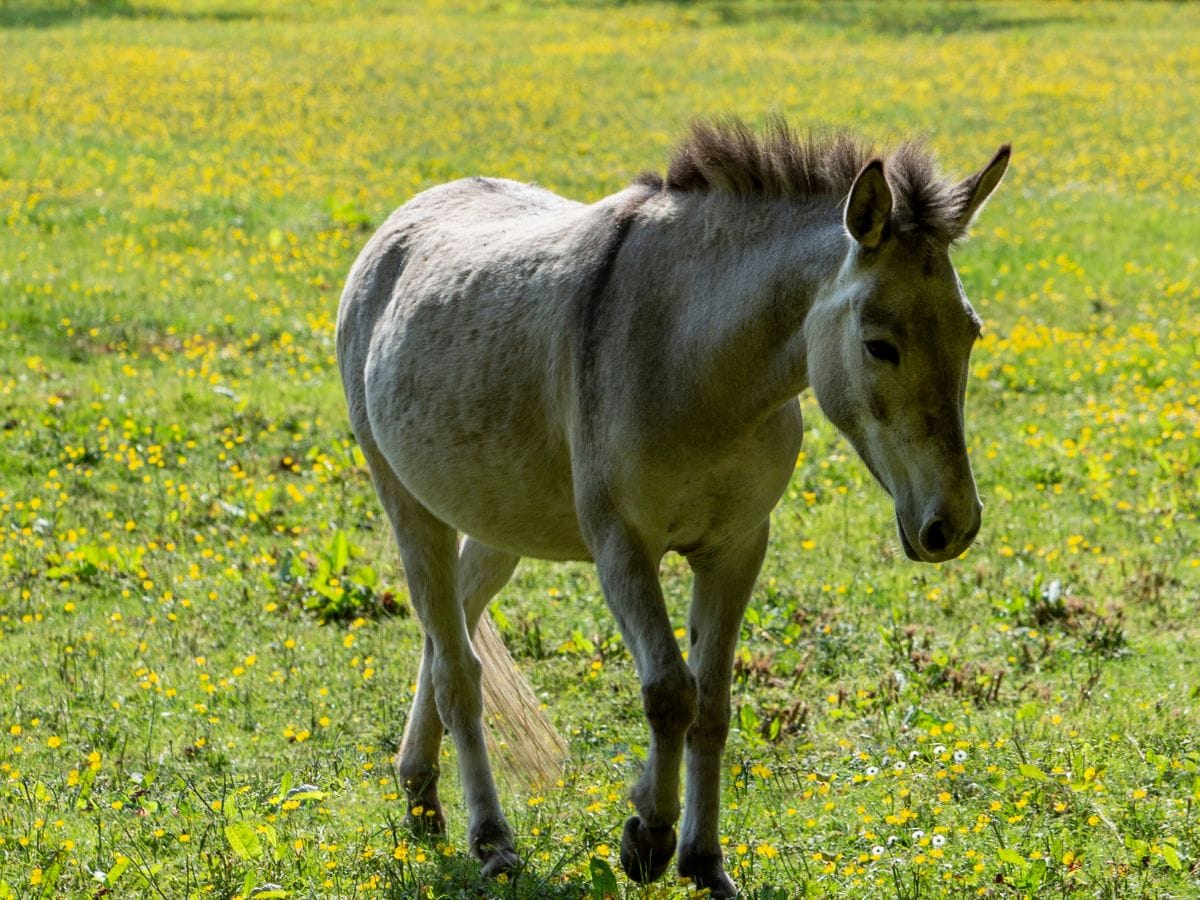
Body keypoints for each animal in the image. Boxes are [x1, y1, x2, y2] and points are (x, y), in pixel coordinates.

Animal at [338, 116, 1012, 897]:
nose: (952, 524)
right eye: (880, 345)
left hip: (495, 525)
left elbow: (711, 706)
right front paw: (648, 839)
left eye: (970, 331)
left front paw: (705, 862)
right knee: (457, 672)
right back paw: (491, 840)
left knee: (446, 637)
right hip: (410, 509)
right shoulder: (622, 549)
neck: (693, 359)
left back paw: (420, 796)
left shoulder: (736, 549)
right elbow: (668, 691)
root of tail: (395, 233)